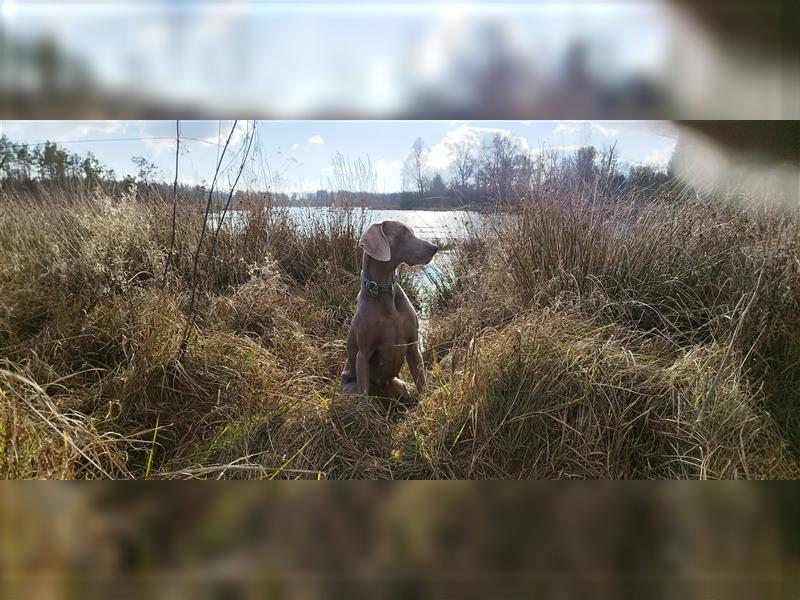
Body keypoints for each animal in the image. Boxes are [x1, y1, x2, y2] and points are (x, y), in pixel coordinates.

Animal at [340, 219, 438, 398]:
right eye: (403, 232)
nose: (434, 247)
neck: (385, 290)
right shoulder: (363, 354)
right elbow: (364, 396)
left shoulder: (413, 347)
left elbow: (422, 384)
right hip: (350, 389)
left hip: (400, 385)